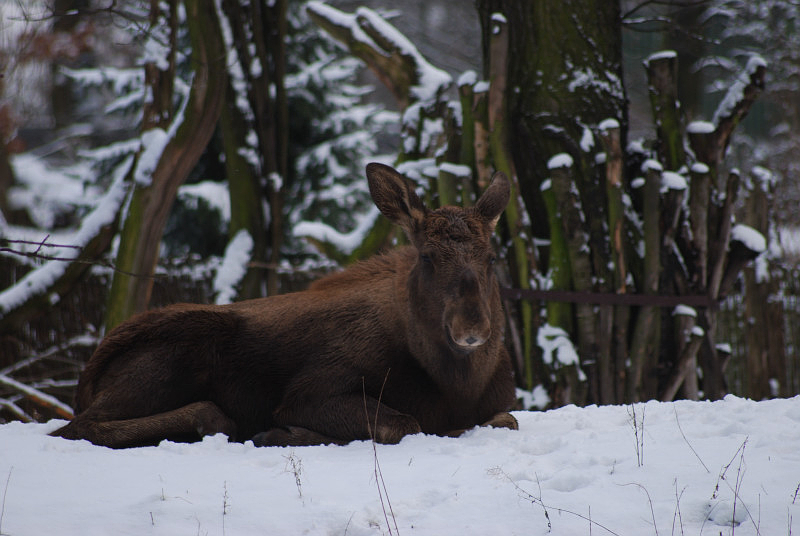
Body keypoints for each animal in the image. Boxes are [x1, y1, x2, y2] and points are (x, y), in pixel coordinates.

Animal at [51, 163, 518, 448]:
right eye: (426, 257)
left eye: (492, 258)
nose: (472, 328)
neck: (456, 384)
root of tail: (88, 376)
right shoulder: (308, 393)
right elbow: (403, 422)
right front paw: (288, 432)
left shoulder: (499, 405)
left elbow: (505, 420)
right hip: (169, 360)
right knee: (77, 427)